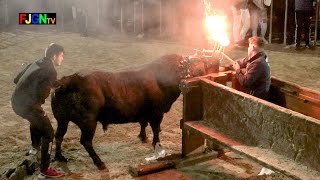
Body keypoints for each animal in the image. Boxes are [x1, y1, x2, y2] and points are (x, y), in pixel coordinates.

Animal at [50, 53, 210, 170]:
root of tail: (70, 80)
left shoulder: (144, 113)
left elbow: (143, 124)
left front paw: (143, 137)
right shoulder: (157, 113)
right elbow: (156, 129)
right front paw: (156, 145)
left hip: (62, 119)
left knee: (59, 136)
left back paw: (59, 157)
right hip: (88, 122)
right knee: (85, 141)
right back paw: (99, 163)